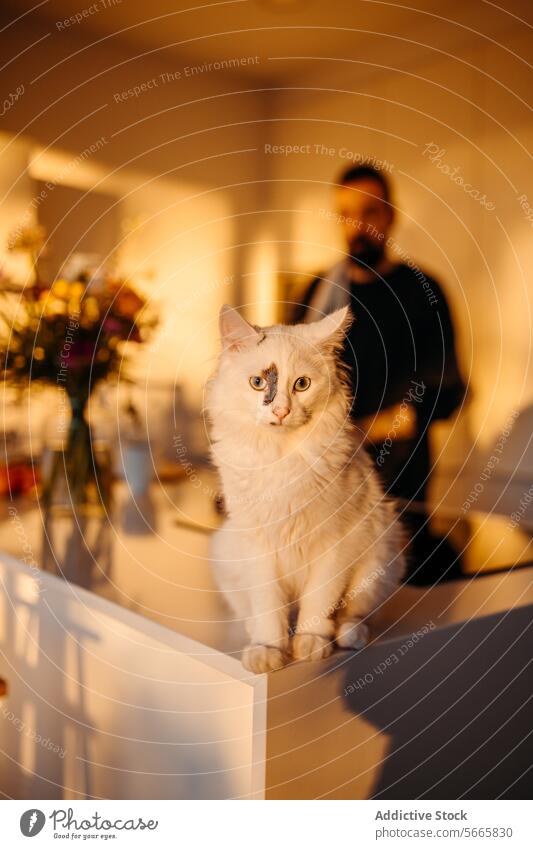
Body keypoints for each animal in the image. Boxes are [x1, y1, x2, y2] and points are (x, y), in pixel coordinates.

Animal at [206, 306, 406, 676]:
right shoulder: (258, 546)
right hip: (225, 553)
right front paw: (268, 651)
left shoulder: (335, 542)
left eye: (302, 384)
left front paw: (310, 643)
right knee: (255, 611)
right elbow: (269, 608)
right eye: (258, 383)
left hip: (382, 556)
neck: (282, 456)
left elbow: (318, 599)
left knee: (355, 614)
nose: (281, 411)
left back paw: (348, 636)